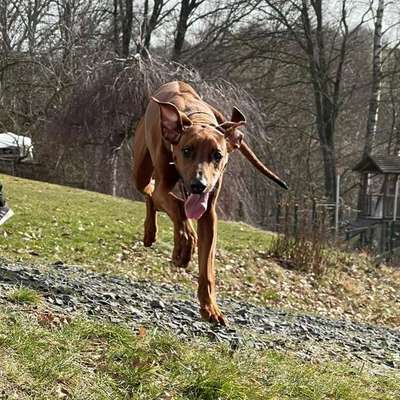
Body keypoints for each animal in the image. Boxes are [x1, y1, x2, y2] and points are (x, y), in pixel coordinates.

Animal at [133, 81, 286, 324]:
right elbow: (177, 207)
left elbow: (207, 267)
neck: (197, 118)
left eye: (217, 155)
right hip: (141, 168)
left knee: (161, 199)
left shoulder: (209, 213)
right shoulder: (165, 187)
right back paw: (154, 233)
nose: (199, 185)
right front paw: (184, 245)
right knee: (150, 191)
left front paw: (210, 307)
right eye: (187, 150)